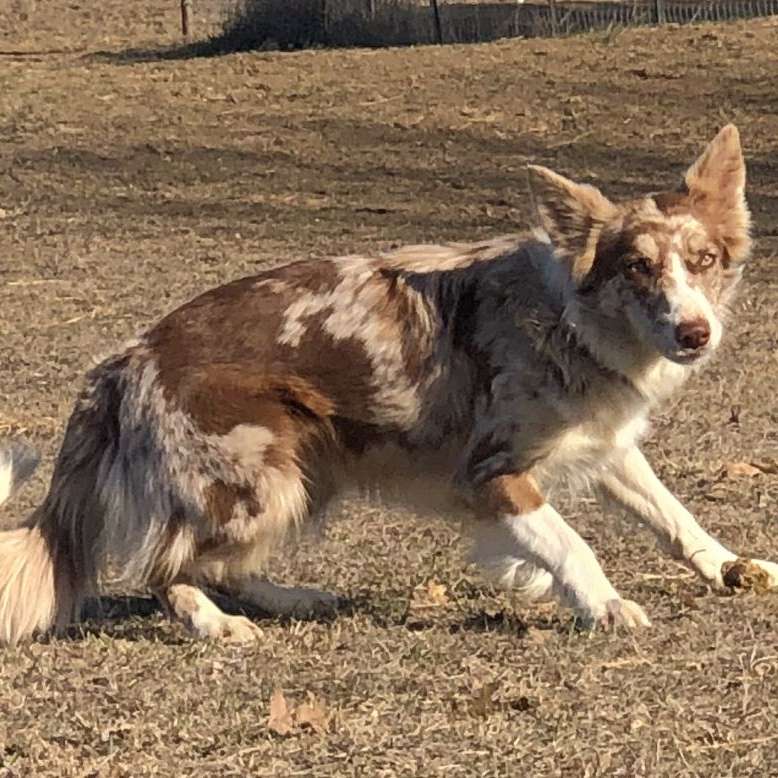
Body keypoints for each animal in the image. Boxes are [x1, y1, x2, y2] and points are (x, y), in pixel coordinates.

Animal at [1, 123, 776, 644]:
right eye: (637, 267)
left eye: (705, 261)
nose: (694, 332)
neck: (569, 321)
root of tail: (126, 357)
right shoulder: (489, 473)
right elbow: (569, 541)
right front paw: (604, 604)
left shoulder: (603, 443)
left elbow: (672, 514)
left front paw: (729, 566)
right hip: (261, 477)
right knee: (165, 566)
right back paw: (218, 626)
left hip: (306, 475)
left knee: (214, 563)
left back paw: (292, 598)